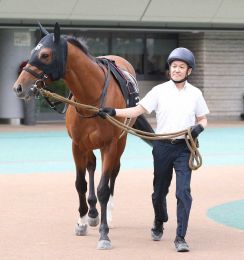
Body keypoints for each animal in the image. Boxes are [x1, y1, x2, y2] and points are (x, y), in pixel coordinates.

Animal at [12, 22, 153, 250]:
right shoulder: (77, 144)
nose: (18, 87)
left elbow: (104, 187)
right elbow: (80, 183)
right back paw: (93, 213)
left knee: (113, 173)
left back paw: (107, 214)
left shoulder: (110, 145)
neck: (91, 97)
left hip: (120, 142)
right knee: (92, 165)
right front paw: (82, 221)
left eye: (45, 54)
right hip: (88, 145)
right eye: (32, 52)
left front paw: (104, 234)